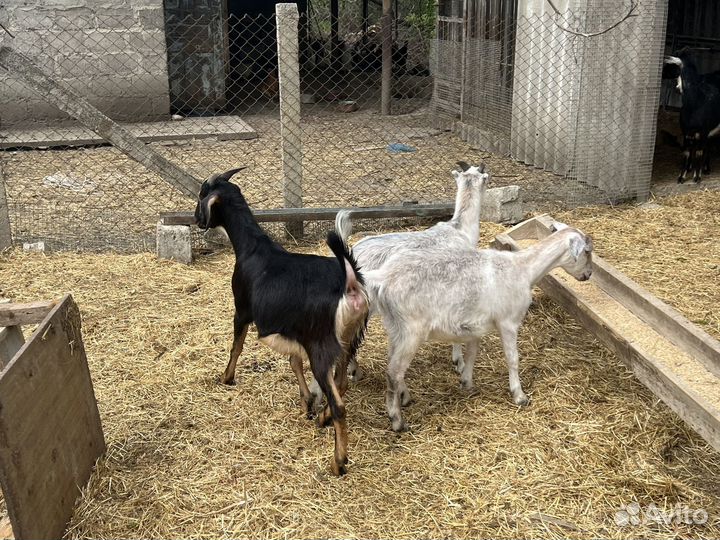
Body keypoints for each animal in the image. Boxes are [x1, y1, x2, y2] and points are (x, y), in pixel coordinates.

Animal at [194, 168, 368, 475]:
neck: (252, 248)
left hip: (321, 347)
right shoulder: (291, 329)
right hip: (348, 340)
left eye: (202, 195)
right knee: (342, 384)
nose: (196, 219)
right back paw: (323, 417)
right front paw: (307, 403)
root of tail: (348, 284)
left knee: (339, 403)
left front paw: (226, 378)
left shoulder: (242, 310)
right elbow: (293, 362)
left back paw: (338, 461)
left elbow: (236, 347)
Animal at [364, 223, 593, 432]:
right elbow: (513, 359)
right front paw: (519, 396)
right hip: (412, 330)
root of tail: (382, 279)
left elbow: (472, 353)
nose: (588, 275)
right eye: (587, 252)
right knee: (394, 371)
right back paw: (397, 421)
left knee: (393, 364)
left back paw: (405, 397)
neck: (524, 269)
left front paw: (467, 382)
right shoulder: (508, 322)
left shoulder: (475, 325)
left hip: (395, 328)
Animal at [663, 54, 720, 183]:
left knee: (707, 147)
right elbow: (687, 152)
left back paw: (706, 169)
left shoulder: (703, 131)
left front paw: (697, 177)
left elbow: (699, 152)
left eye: (671, 67)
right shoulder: (687, 132)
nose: (677, 89)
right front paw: (681, 177)